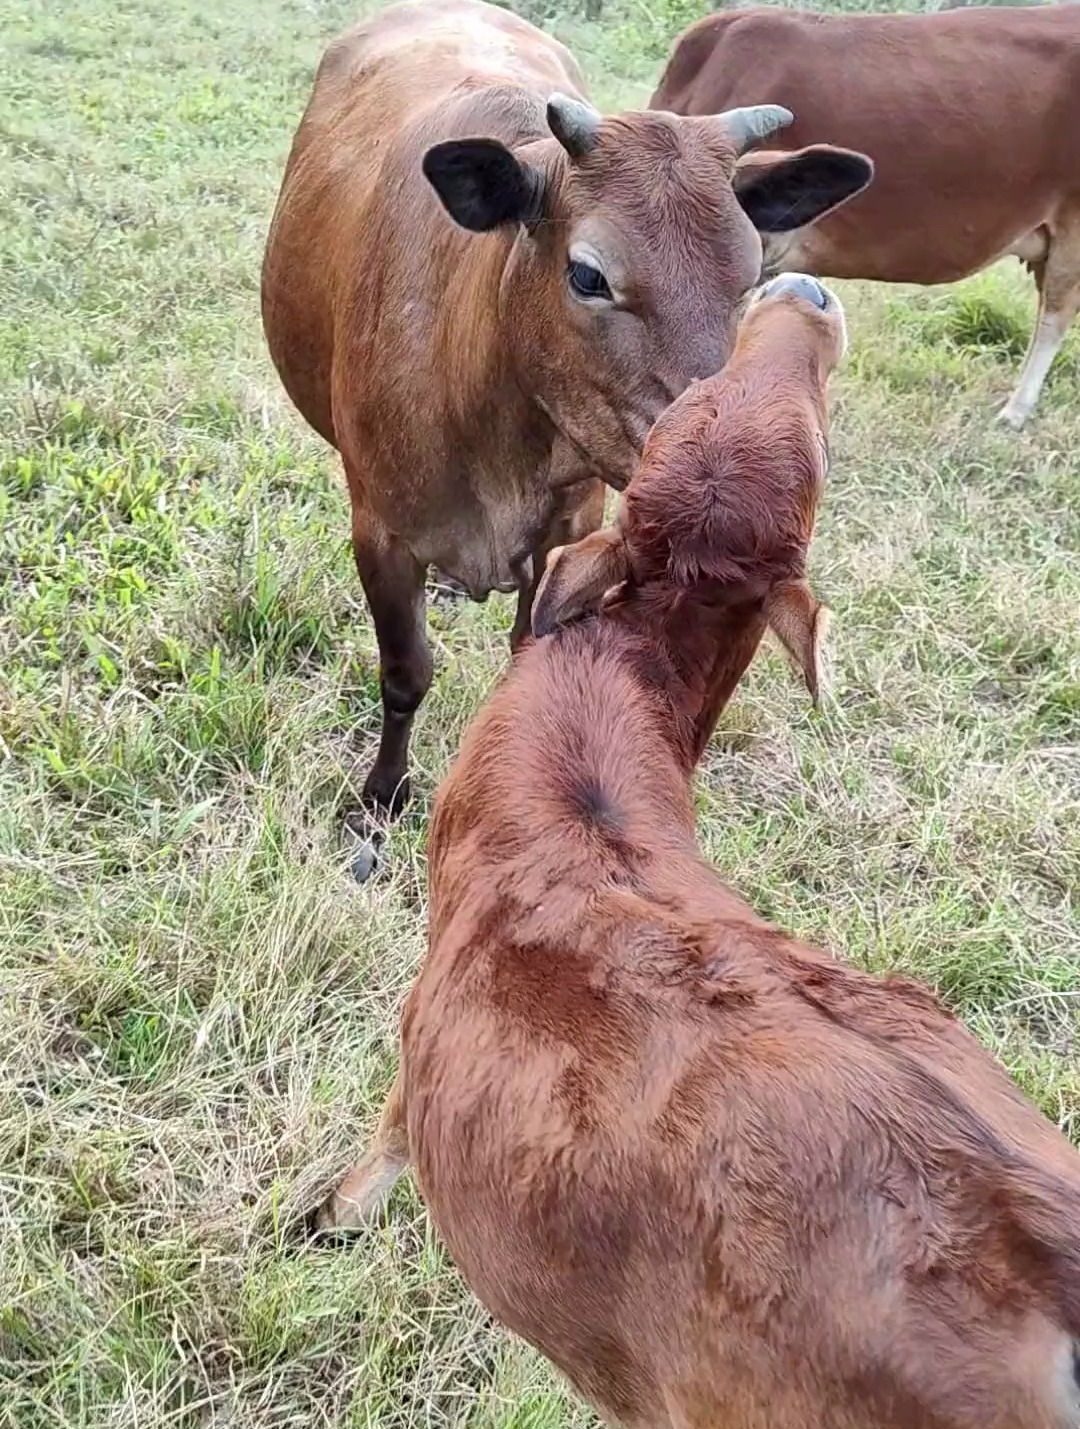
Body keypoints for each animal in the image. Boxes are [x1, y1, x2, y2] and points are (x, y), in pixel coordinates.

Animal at [264, 0, 880, 868]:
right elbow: (404, 672)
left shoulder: (570, 529)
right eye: (589, 274)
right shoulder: (379, 529)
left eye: (751, 274)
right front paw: (378, 804)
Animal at [318, 278, 1080, 1429]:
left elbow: (387, 1132)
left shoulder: (420, 1021)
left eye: (816, 436)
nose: (805, 288)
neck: (613, 698)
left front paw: (333, 1214)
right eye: (704, 399)